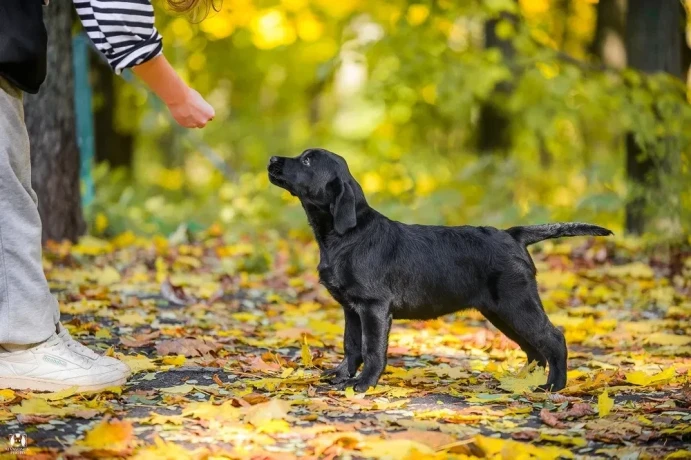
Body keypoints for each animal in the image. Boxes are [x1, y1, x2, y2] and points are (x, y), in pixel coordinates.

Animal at [268, 148, 612, 392]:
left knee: (553, 339)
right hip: (501, 312)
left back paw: (554, 386)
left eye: (307, 161)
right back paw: (523, 382)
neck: (346, 235)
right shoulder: (351, 308)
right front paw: (340, 376)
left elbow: (372, 349)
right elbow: (351, 345)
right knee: (534, 349)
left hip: (517, 303)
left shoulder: (373, 306)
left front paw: (364, 384)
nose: (272, 159)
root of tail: (513, 234)